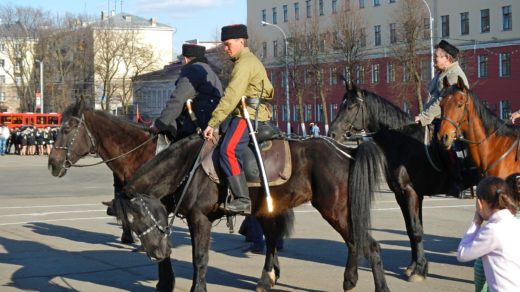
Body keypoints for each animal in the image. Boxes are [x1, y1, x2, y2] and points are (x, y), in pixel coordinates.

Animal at [116, 133, 388, 290]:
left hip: (335, 208)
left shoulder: (200, 219)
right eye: (131, 224)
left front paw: (197, 288)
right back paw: (349, 280)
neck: (189, 166)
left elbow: (200, 258)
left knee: (369, 245)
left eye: (139, 217)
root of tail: (347, 151)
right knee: (355, 242)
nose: (157, 253)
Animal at [328, 81, 478, 280]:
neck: (403, 142)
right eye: (340, 105)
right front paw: (414, 266)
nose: (332, 133)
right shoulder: (402, 194)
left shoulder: (411, 192)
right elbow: (411, 229)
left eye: (350, 106)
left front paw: (419, 270)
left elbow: (416, 229)